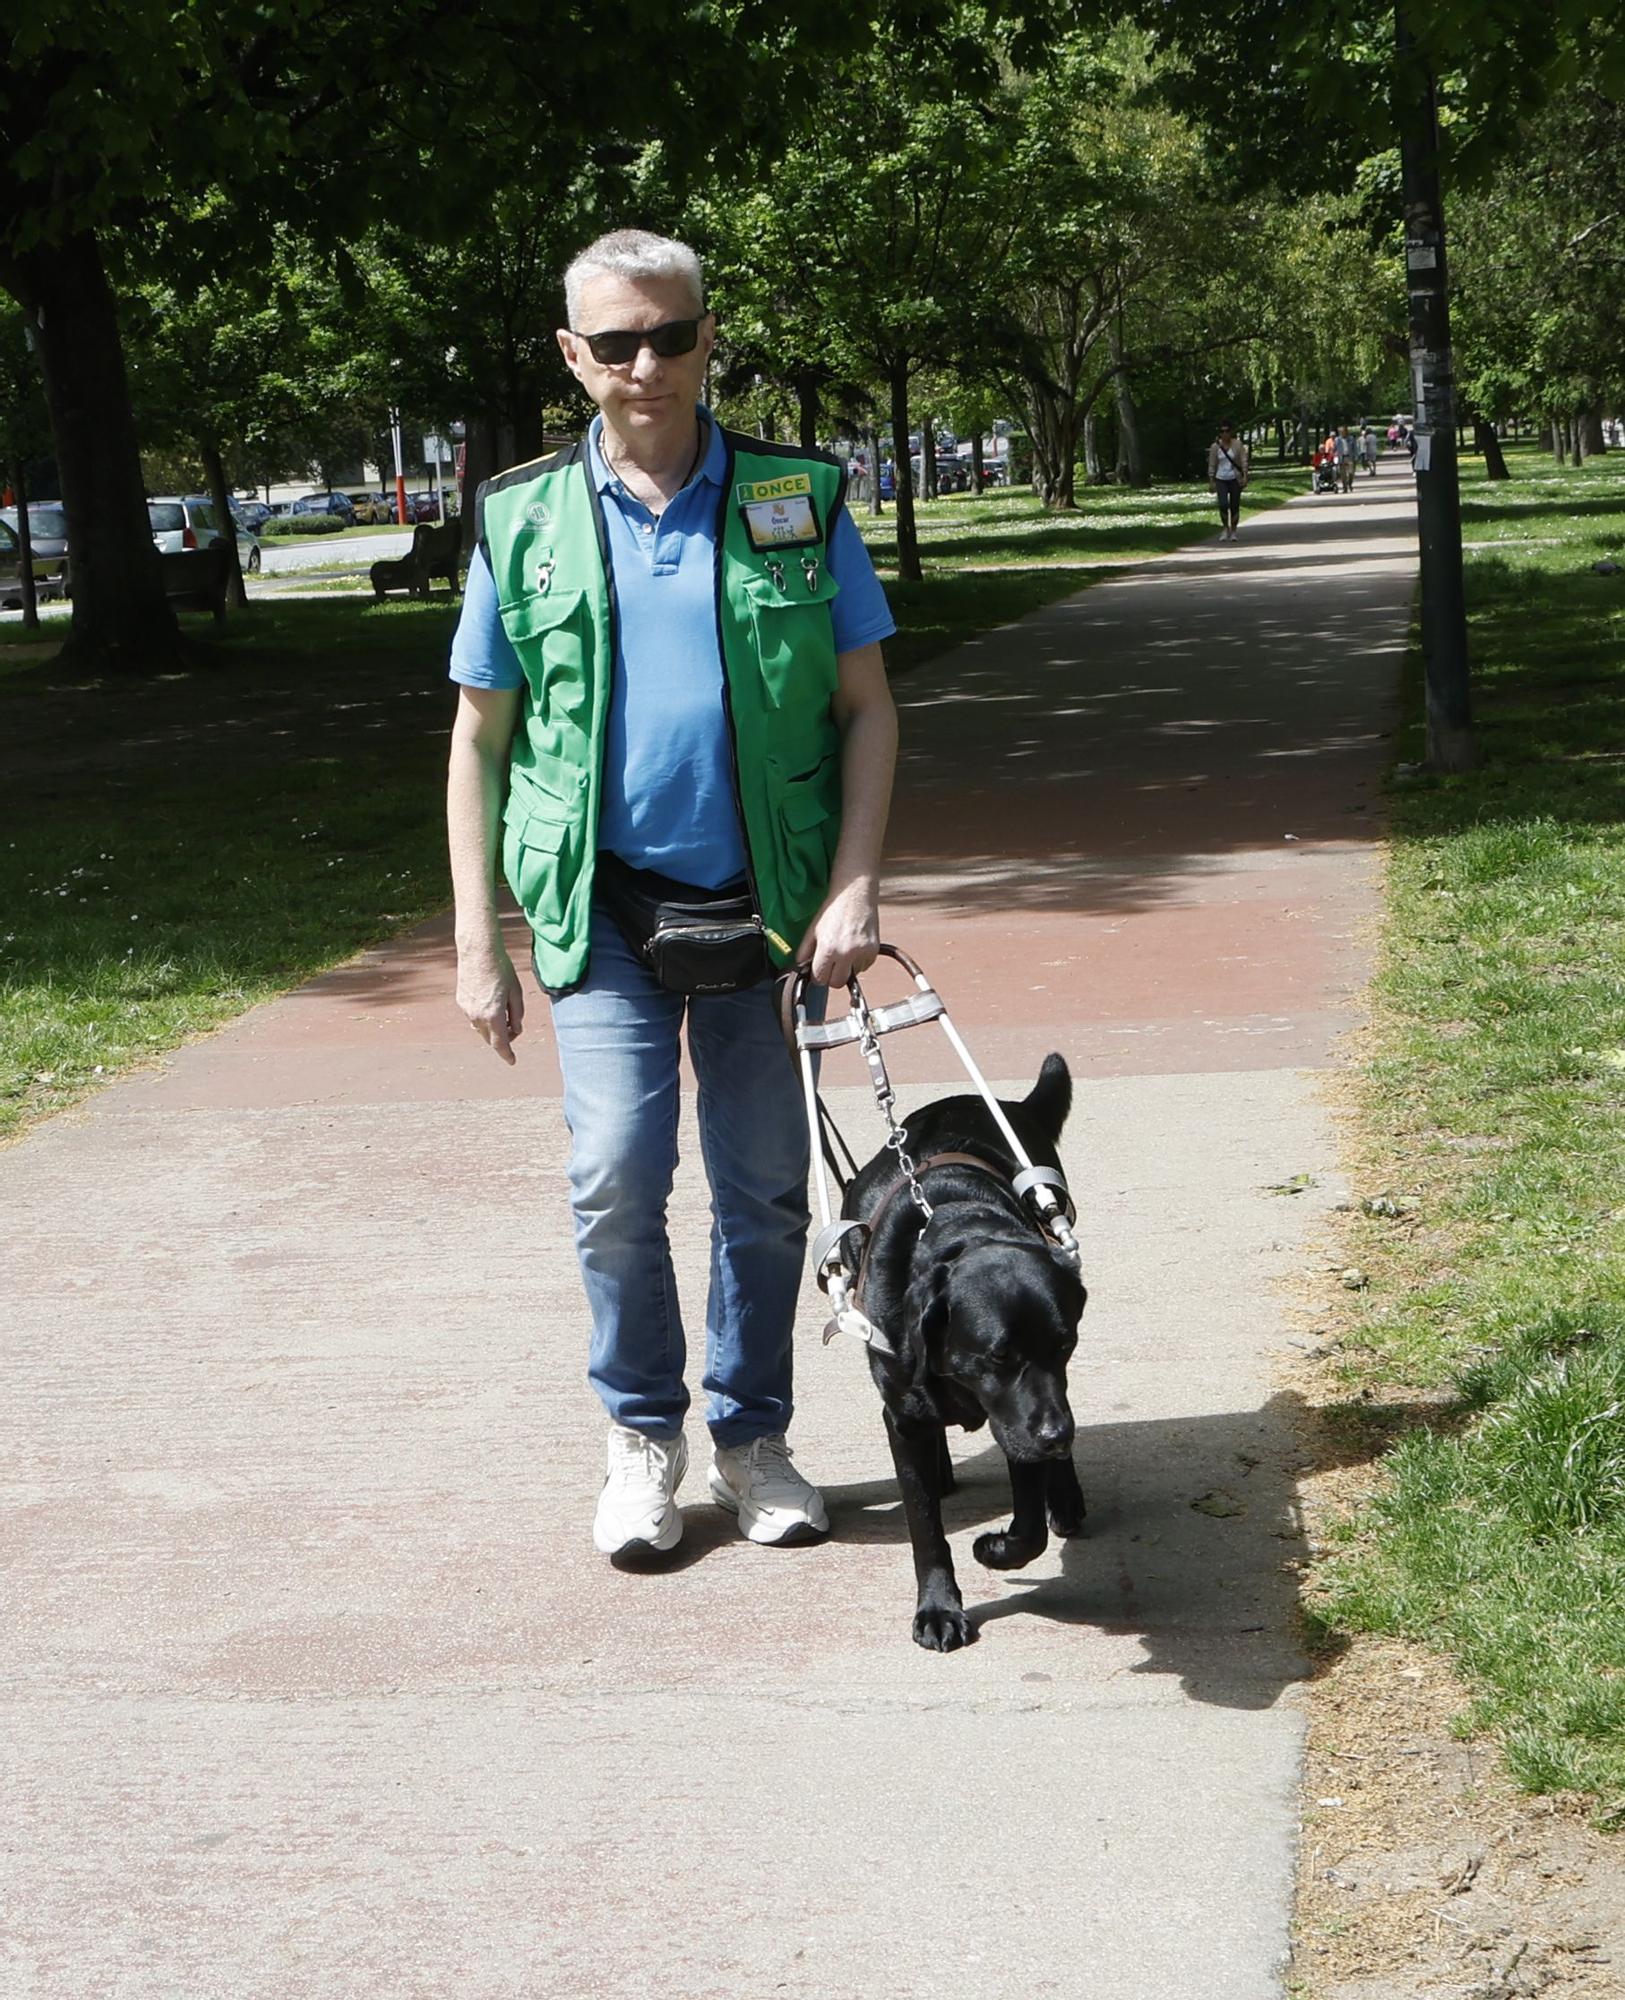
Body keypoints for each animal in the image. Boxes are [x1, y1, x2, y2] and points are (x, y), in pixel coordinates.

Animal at [844, 1056, 1088, 1648]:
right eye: (999, 1357)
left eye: (1065, 1344)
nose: (1058, 1435)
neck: (956, 1228)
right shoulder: (904, 1417)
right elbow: (924, 1526)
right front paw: (938, 1608)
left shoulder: (1020, 1419)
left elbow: (1029, 1526)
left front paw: (997, 1548)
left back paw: (1065, 1497)